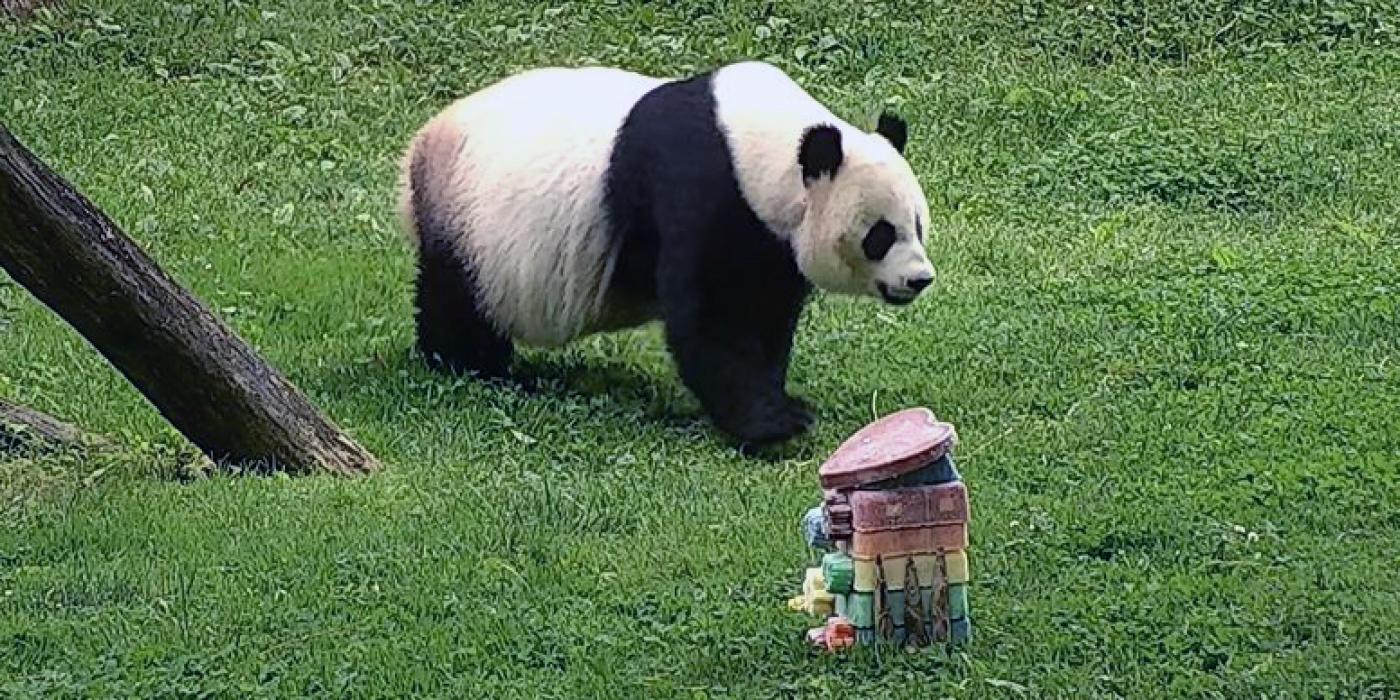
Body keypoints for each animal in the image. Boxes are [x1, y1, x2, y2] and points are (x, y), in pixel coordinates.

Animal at [400, 60, 935, 442]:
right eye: (881, 234)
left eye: (918, 225)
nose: (919, 279)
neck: (762, 144)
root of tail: (418, 146)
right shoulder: (701, 187)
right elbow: (712, 316)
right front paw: (774, 426)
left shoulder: (770, 239)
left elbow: (767, 313)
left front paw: (784, 403)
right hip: (470, 226)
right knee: (458, 303)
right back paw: (473, 367)